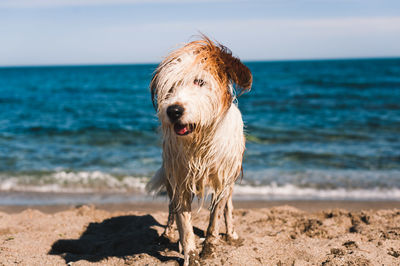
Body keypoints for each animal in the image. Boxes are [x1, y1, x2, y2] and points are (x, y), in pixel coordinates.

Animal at [147, 35, 253, 266]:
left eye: (200, 81)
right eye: (170, 86)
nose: (173, 110)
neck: (201, 141)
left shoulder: (224, 178)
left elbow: (216, 217)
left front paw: (210, 249)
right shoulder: (179, 179)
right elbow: (184, 222)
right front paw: (191, 254)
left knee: (228, 207)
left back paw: (231, 235)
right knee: (171, 209)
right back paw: (168, 235)